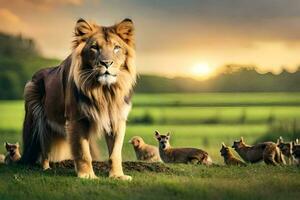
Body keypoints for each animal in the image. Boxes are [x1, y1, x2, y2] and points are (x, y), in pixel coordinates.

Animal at [21, 18, 137, 180]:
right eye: (94, 47)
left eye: (116, 48)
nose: (106, 63)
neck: (104, 92)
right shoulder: (77, 119)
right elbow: (83, 152)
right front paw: (87, 176)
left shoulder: (117, 119)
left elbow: (115, 153)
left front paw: (118, 176)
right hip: (37, 121)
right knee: (43, 148)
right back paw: (45, 169)